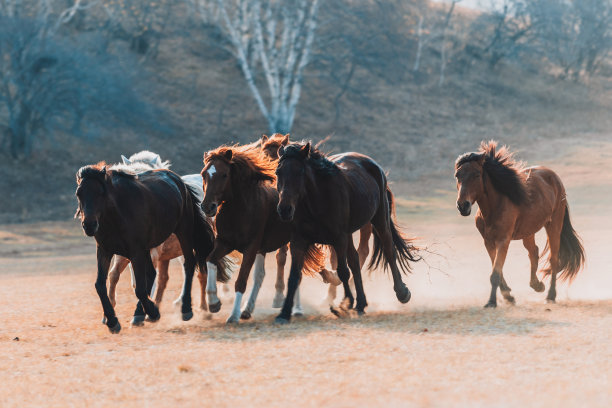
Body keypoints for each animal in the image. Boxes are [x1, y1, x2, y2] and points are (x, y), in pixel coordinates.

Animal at [75, 161, 228, 334]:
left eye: (101, 192)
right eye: (79, 193)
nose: (89, 225)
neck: (118, 214)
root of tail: (178, 180)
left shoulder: (136, 252)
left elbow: (140, 288)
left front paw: (152, 312)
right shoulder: (105, 251)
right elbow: (101, 285)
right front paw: (112, 321)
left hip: (183, 233)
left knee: (189, 265)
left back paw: (186, 309)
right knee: (155, 273)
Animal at [201, 145, 326, 324]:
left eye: (224, 174)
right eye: (203, 174)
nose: (207, 207)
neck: (239, 210)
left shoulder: (251, 248)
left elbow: (241, 281)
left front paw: (233, 315)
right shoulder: (225, 242)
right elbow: (210, 260)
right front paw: (214, 303)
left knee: (298, 272)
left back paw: (297, 309)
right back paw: (248, 309)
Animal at [260, 134, 370, 306]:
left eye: (274, 163)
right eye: (263, 158)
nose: (282, 207)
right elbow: (283, 257)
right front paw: (279, 294)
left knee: (361, 252)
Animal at [274, 142, 420, 324]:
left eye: (300, 172)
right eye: (278, 172)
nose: (284, 210)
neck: (318, 200)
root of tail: (372, 164)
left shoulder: (339, 238)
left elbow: (343, 271)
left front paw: (345, 303)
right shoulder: (299, 241)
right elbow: (294, 276)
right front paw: (284, 313)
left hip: (379, 220)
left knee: (388, 251)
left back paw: (401, 293)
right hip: (350, 234)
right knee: (355, 260)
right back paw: (361, 304)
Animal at [454, 142, 584, 304]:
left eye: (477, 174)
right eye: (457, 175)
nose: (462, 206)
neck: (494, 207)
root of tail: (555, 178)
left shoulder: (503, 240)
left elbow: (495, 273)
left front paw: (492, 302)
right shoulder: (488, 242)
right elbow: (497, 269)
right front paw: (508, 295)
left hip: (554, 225)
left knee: (553, 259)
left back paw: (551, 296)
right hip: (528, 232)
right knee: (534, 252)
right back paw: (537, 285)